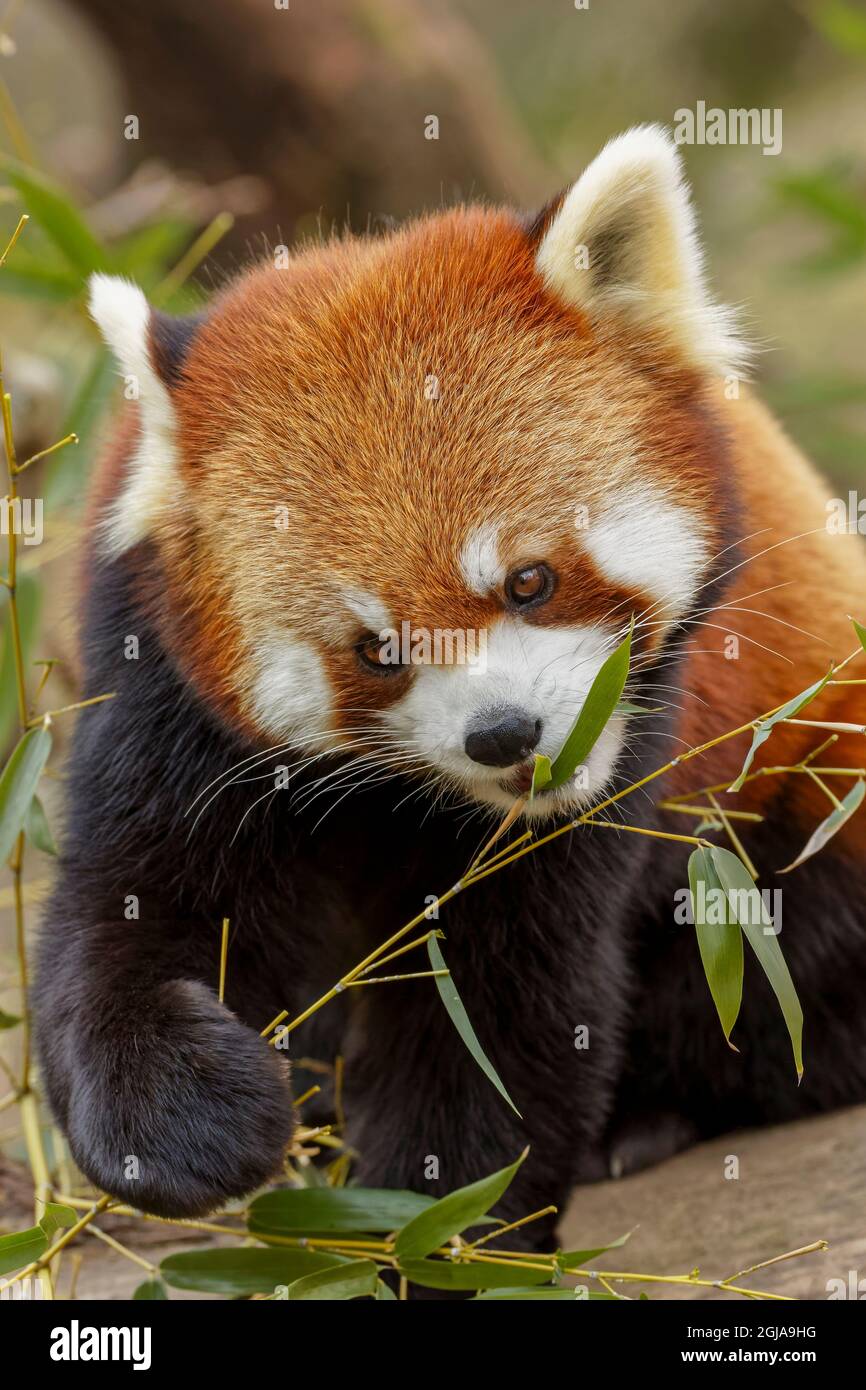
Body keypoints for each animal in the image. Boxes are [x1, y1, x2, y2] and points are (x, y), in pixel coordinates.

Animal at [33, 126, 866, 1237]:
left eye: (529, 580)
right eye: (375, 649)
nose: (504, 735)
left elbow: (502, 1005)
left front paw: (433, 1223)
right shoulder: (157, 680)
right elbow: (127, 909)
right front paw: (186, 1125)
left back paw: (648, 1119)